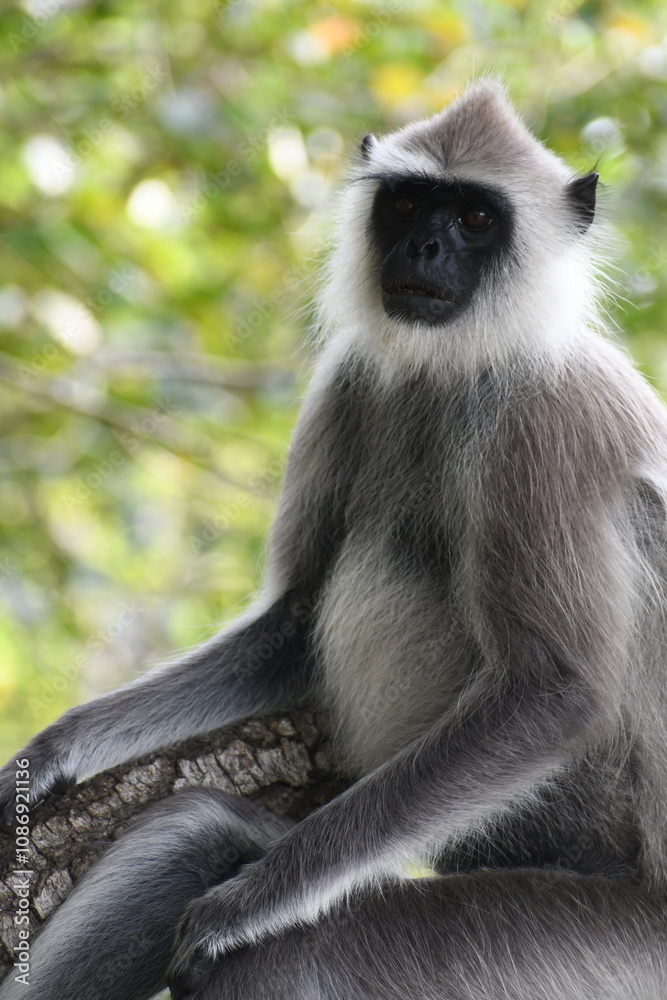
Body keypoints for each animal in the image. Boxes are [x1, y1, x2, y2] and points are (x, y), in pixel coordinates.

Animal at [1, 77, 667, 1000]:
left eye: (475, 218)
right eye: (410, 203)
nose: (425, 245)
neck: (455, 366)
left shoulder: (549, 418)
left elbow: (554, 690)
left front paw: (237, 908)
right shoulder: (348, 382)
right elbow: (291, 625)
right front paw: (50, 754)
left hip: (598, 945)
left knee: (290, 953)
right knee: (198, 831)